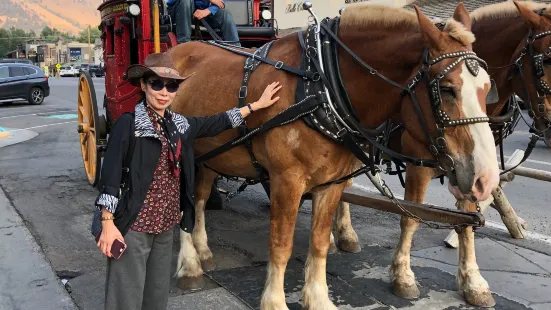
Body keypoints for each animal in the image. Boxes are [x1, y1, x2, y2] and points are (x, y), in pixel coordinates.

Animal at [169, 3, 500, 310]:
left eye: (487, 88)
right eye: (447, 89)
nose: (486, 179)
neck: (321, 86)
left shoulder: (331, 183)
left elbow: (318, 242)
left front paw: (318, 298)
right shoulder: (287, 181)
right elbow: (281, 244)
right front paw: (274, 301)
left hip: (210, 156)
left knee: (200, 198)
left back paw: (203, 251)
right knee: (184, 206)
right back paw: (189, 265)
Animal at [330, 1, 551, 308]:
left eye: (487, 86)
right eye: (547, 60)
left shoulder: (472, 170)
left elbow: (467, 220)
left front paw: (472, 282)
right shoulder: (419, 167)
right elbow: (411, 216)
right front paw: (403, 276)